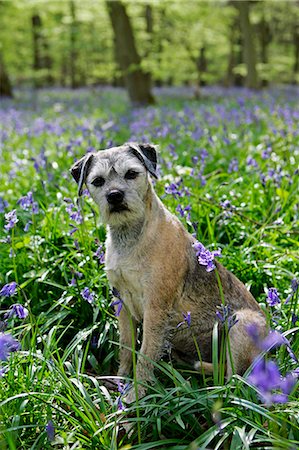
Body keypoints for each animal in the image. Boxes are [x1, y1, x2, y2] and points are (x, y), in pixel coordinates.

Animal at [71, 143, 268, 400]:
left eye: (131, 174)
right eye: (98, 181)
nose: (114, 195)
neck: (131, 236)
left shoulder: (155, 308)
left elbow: (146, 354)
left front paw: (135, 395)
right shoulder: (122, 303)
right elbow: (126, 347)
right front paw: (122, 379)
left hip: (241, 324)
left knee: (234, 378)